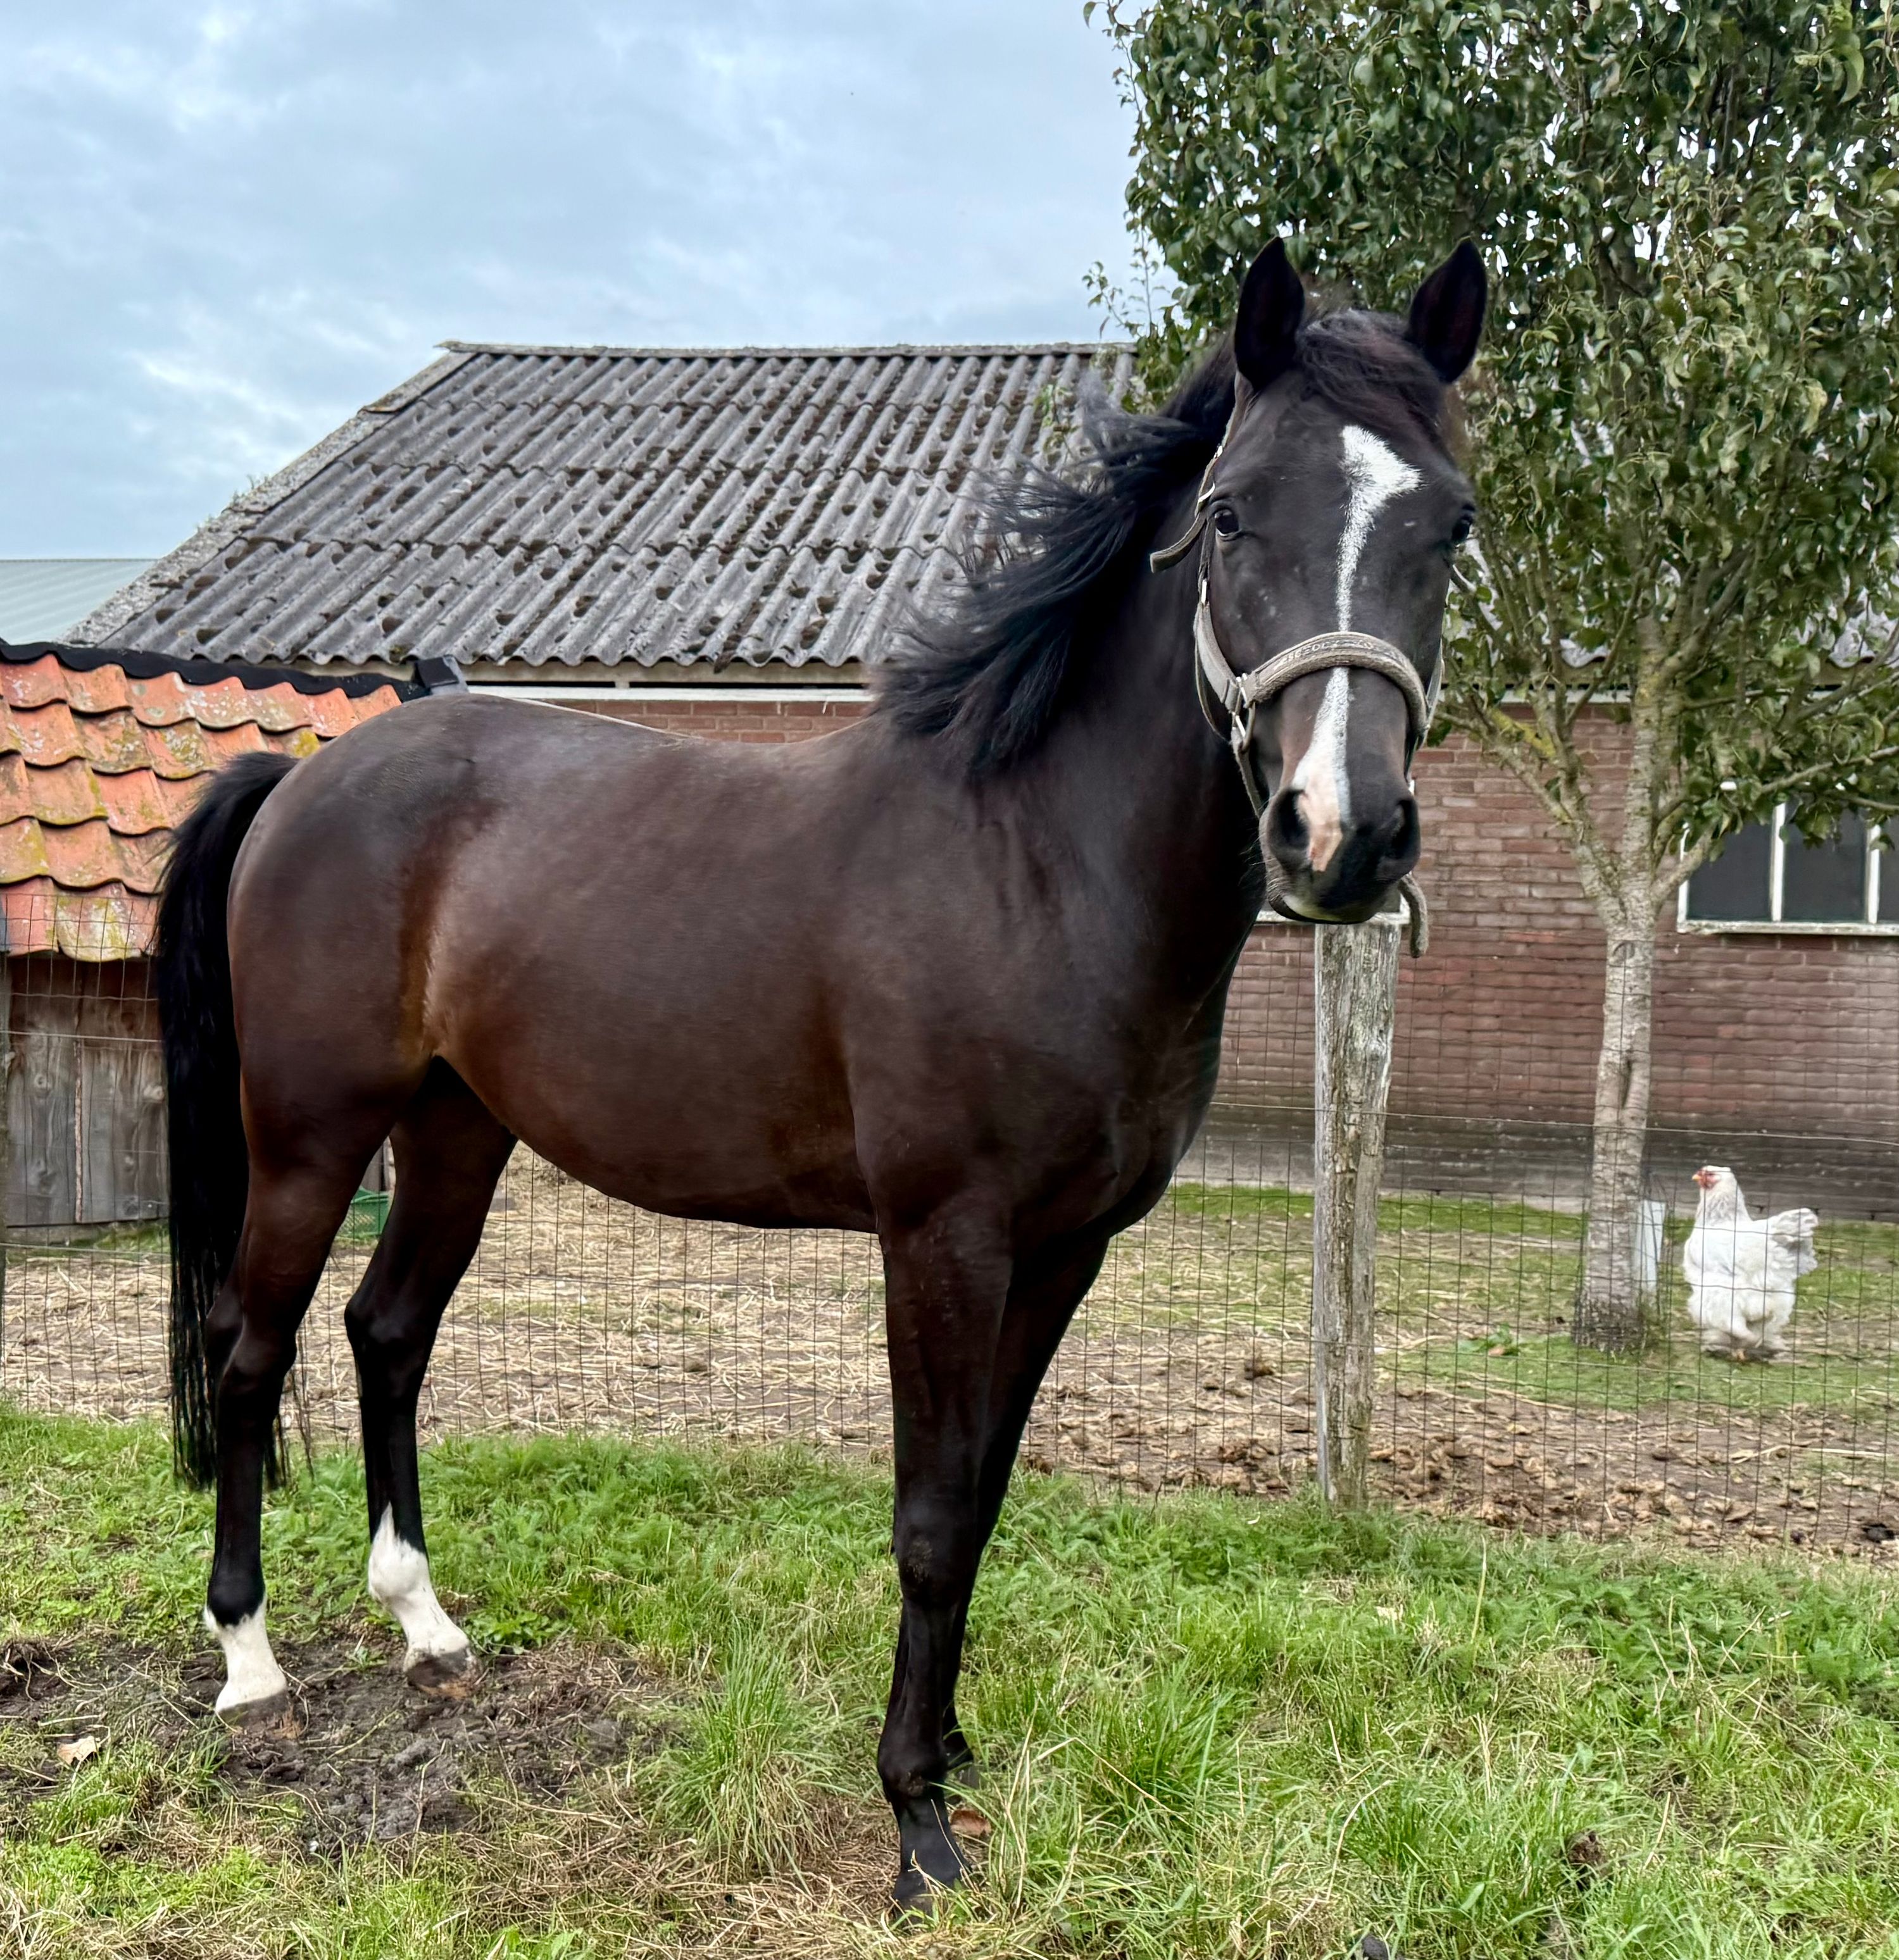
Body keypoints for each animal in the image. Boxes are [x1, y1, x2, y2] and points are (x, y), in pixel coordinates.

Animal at [156, 235, 1485, 1908]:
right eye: (1235, 510)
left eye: (1451, 524)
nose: (1341, 835)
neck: (1034, 864)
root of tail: (304, 774)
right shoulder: (942, 1239)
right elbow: (927, 1517)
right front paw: (916, 1822)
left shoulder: (1065, 1251)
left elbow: (983, 1500)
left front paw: (958, 1756)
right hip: (311, 1135)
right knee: (250, 1349)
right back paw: (251, 1663)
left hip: (458, 1133)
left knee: (386, 1333)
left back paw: (427, 1626)